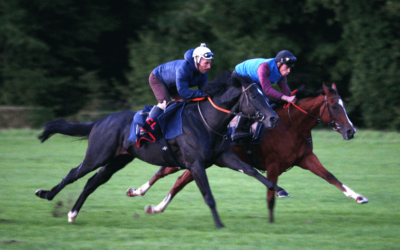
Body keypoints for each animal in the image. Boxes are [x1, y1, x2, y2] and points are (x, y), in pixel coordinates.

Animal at [35, 71, 288, 228]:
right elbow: (208, 194)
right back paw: (46, 194)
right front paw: (219, 223)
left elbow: (252, 171)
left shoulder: (223, 156)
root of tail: (99, 121)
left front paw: (280, 190)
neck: (207, 121)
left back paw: (72, 213)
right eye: (254, 95)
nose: (274, 118)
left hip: (117, 160)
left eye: (264, 94)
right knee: (74, 174)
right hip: (97, 155)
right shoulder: (196, 164)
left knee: (91, 183)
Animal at [126, 83, 368, 222]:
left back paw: (153, 205)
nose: (351, 131)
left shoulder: (306, 158)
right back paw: (140, 194)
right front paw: (271, 221)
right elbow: (271, 195)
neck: (292, 125)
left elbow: (330, 177)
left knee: (176, 180)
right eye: (335, 106)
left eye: (343, 105)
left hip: (200, 161)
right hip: (194, 160)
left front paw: (358, 196)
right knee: (167, 175)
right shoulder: (273, 165)